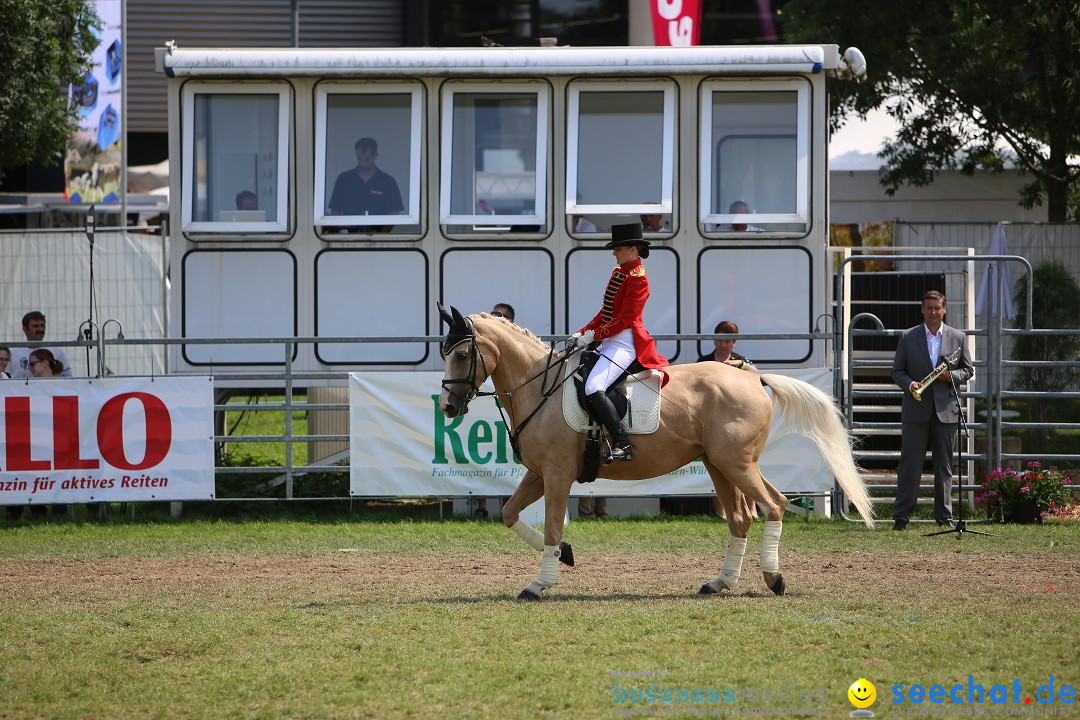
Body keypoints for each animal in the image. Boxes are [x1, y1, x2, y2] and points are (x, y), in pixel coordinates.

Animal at [434, 306, 872, 600]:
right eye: (445, 353)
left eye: (462, 354)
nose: (448, 408)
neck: (541, 387)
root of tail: (752, 377)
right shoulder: (539, 473)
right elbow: (509, 514)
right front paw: (566, 556)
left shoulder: (557, 475)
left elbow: (554, 527)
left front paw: (540, 583)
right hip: (722, 465)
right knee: (740, 518)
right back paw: (720, 582)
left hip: (736, 464)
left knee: (775, 505)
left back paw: (774, 579)